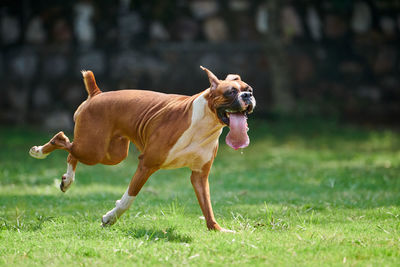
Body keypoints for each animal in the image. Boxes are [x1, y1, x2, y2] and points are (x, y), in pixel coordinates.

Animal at [30, 67, 256, 232]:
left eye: (249, 89)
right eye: (230, 92)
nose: (247, 95)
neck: (204, 121)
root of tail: (96, 94)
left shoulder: (199, 176)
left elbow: (207, 205)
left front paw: (216, 229)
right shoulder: (146, 165)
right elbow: (127, 200)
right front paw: (110, 218)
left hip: (112, 154)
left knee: (72, 153)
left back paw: (67, 180)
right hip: (93, 150)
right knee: (62, 139)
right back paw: (39, 152)